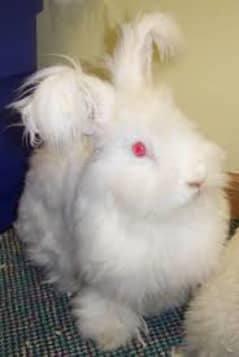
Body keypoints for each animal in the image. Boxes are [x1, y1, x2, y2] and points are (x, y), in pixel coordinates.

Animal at [13, 12, 230, 350]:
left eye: (183, 123)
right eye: (139, 149)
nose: (197, 180)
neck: (159, 219)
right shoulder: (107, 276)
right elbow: (106, 306)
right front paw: (110, 335)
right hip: (44, 231)